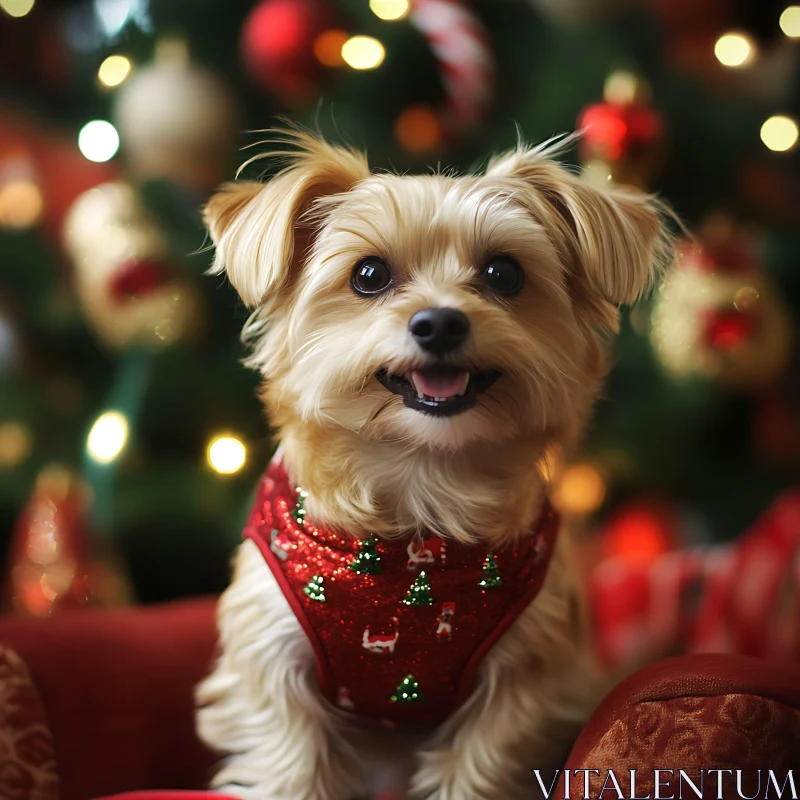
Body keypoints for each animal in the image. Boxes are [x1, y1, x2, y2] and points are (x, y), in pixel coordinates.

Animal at [195, 128, 676, 796]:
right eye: (369, 274)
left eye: (504, 272)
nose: (441, 322)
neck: (422, 480)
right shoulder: (270, 666)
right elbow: (292, 766)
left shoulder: (524, 682)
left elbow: (478, 767)